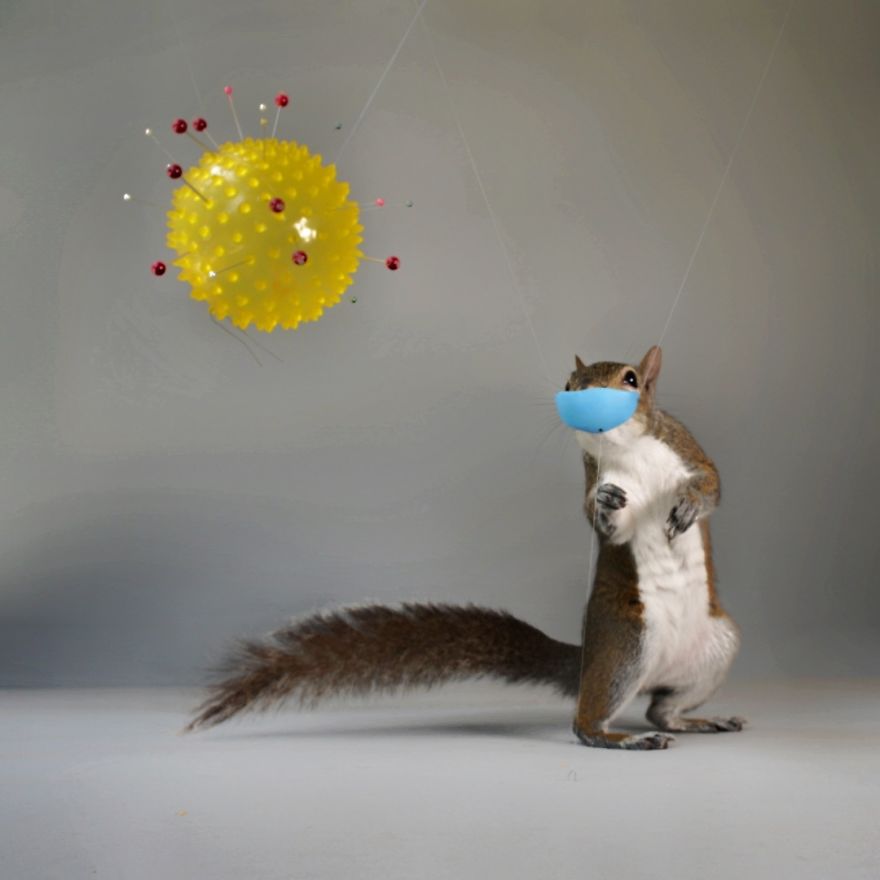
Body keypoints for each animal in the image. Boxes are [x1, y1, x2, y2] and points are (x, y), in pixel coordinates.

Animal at [186, 346, 744, 750]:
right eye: (570, 383)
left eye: (631, 380)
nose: (585, 404)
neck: (628, 450)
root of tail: (596, 661)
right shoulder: (595, 478)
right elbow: (607, 524)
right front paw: (606, 507)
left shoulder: (686, 448)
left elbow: (713, 483)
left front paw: (689, 505)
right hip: (626, 646)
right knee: (592, 722)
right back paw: (621, 738)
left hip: (715, 650)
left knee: (662, 708)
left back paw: (692, 721)